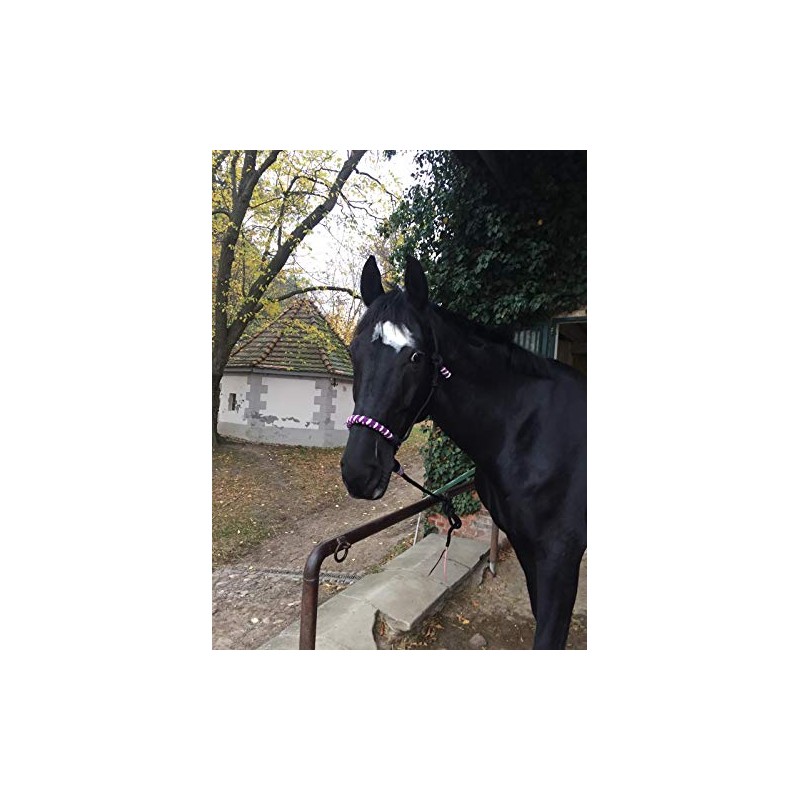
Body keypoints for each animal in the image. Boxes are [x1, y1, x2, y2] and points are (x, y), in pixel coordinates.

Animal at [340, 254, 587, 649]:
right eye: (354, 352)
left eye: (416, 357)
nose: (359, 472)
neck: (531, 432)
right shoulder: (526, 546)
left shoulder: (560, 556)